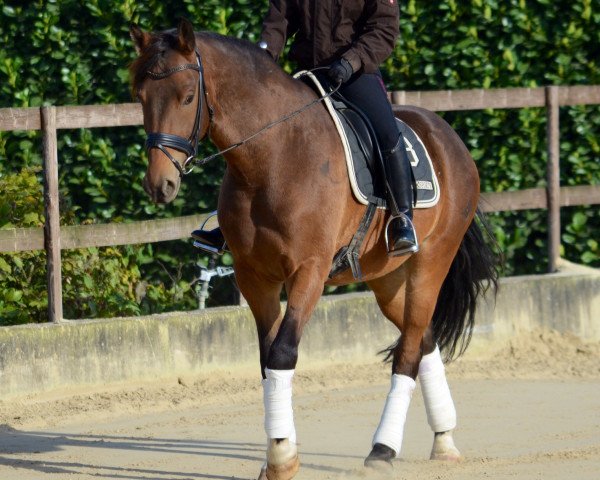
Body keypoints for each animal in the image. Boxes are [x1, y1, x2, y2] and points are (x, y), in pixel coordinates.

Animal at [130, 18, 496, 480]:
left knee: (410, 348)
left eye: (188, 97)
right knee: (424, 338)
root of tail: (449, 137)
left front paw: (282, 458)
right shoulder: (255, 277)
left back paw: (383, 449)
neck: (273, 157)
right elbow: (267, 360)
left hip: (430, 263)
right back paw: (444, 440)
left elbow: (284, 352)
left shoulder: (309, 271)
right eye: (140, 96)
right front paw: (276, 454)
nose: (159, 184)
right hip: (387, 279)